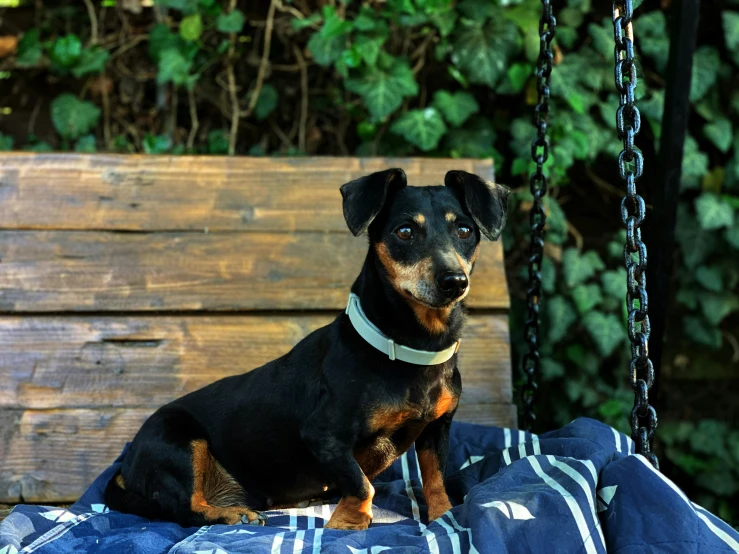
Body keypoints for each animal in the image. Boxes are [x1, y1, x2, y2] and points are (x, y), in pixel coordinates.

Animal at [104, 169, 508, 532]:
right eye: (404, 231)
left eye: (465, 231)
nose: (454, 281)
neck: (410, 349)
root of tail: (128, 464)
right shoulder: (324, 437)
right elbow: (362, 484)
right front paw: (348, 523)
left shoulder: (437, 428)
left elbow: (436, 478)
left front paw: (445, 516)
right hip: (181, 442)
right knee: (184, 510)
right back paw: (232, 515)